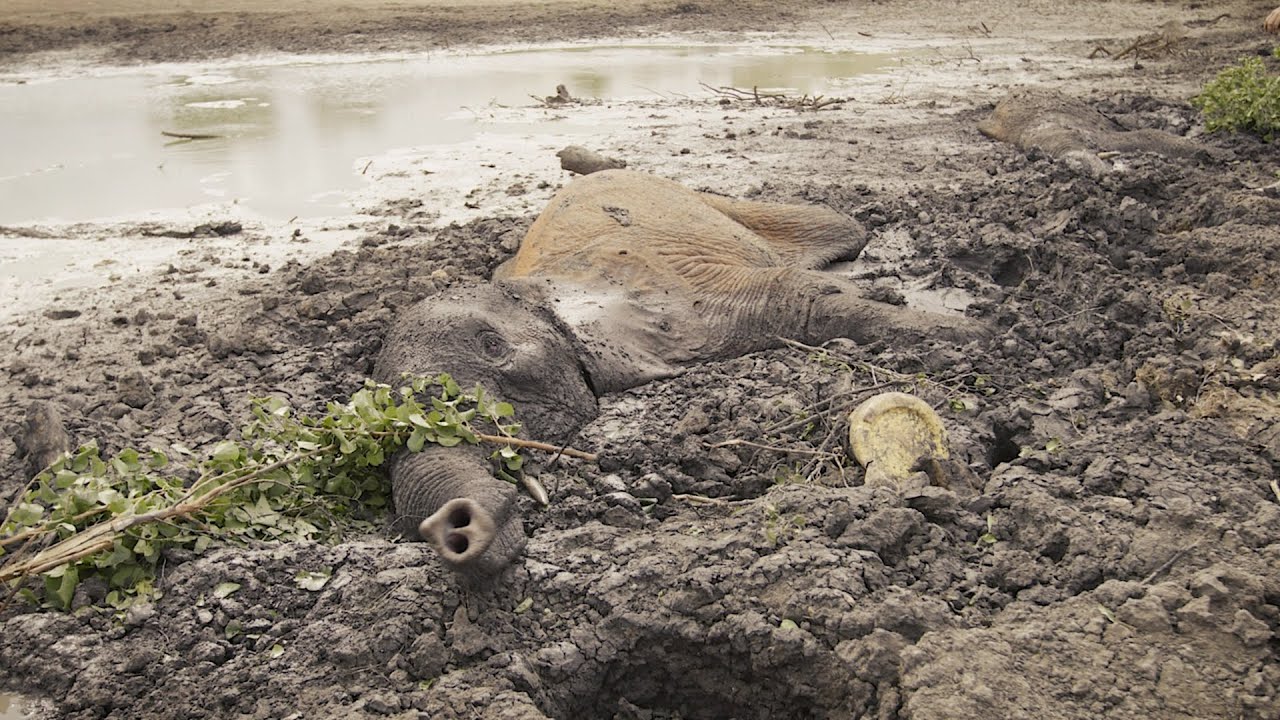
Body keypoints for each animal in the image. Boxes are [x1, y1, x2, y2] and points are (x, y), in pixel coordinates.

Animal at [374, 169, 984, 577]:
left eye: (493, 348)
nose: (453, 526)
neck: (538, 293)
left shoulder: (668, 291)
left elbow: (797, 302)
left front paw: (979, 335)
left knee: (839, 228)